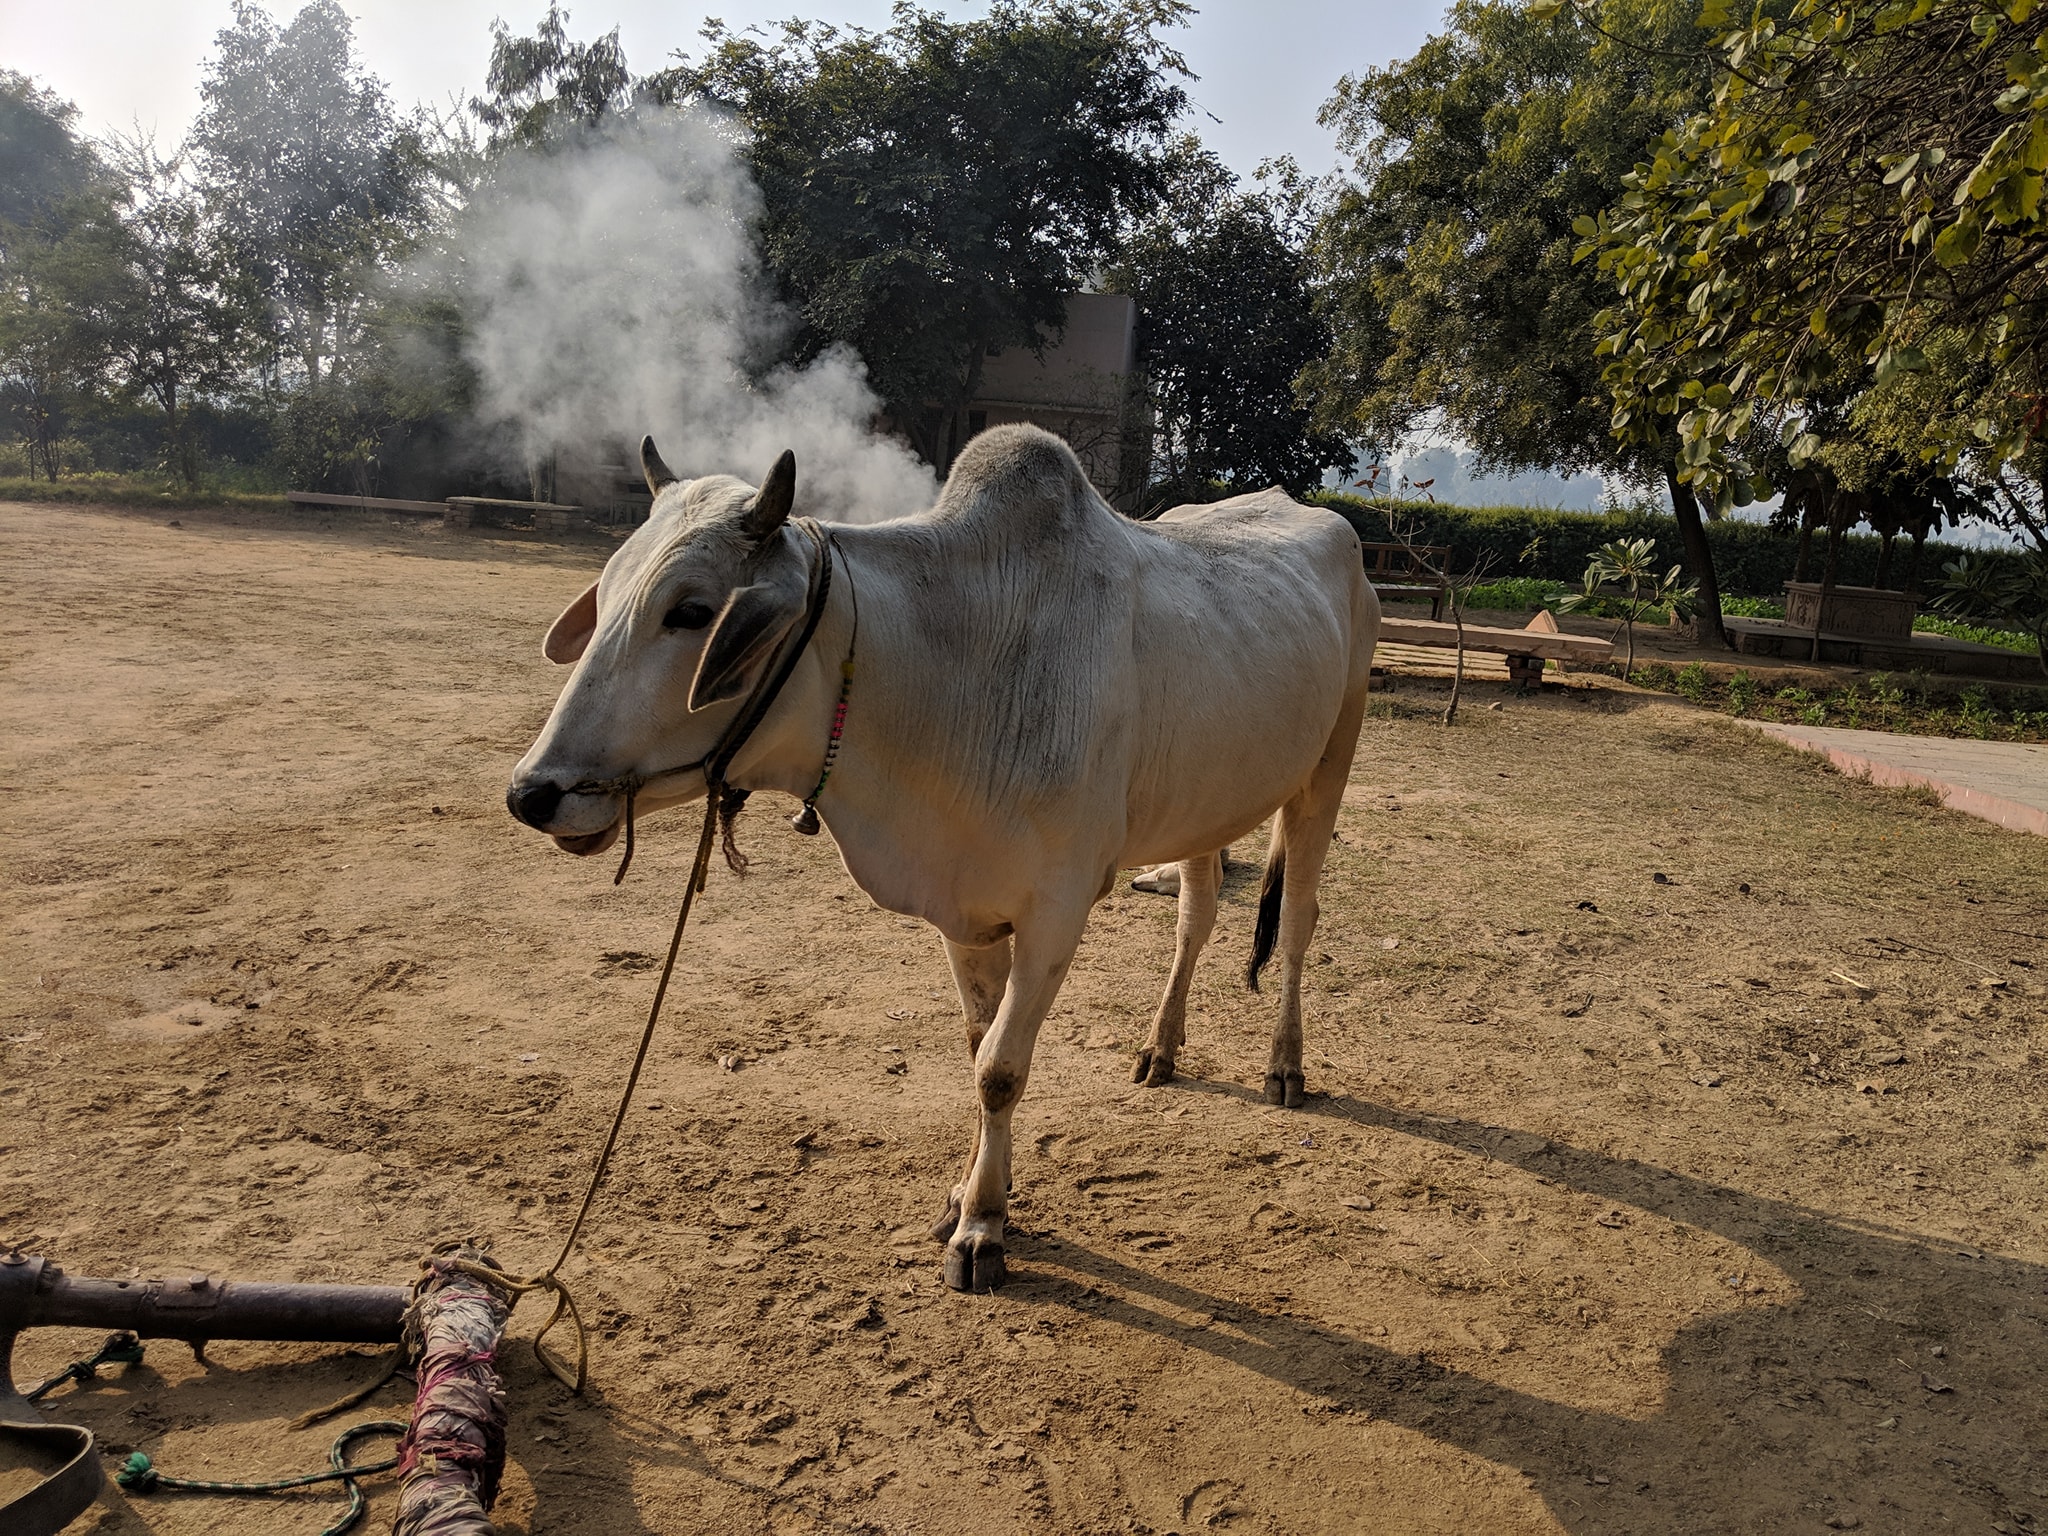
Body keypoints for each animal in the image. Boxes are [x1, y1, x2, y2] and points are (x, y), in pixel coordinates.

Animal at [507, 424, 1379, 1292]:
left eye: (690, 611)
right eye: (609, 593)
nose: (533, 792)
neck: (952, 665)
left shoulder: (1057, 910)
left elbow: (1001, 1069)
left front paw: (984, 1229)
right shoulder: (963, 908)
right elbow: (977, 1047)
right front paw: (968, 1194)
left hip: (1329, 763)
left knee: (1297, 921)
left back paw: (1286, 1065)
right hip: (1209, 802)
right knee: (1194, 919)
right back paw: (1161, 1047)